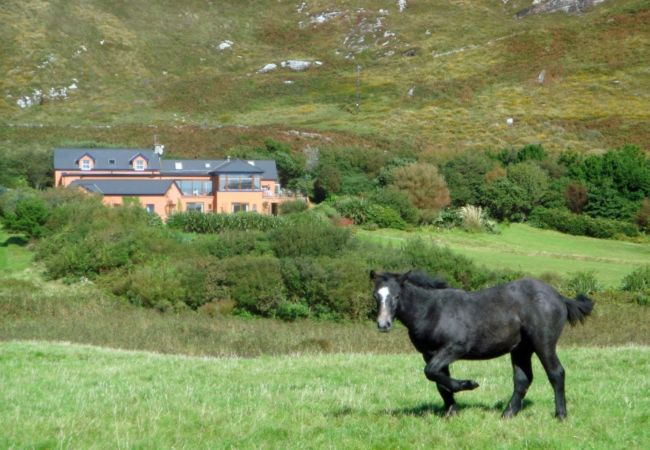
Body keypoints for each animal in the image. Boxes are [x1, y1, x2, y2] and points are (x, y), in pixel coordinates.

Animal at [370, 268, 592, 420]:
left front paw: (469, 385)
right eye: (376, 296)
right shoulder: (430, 353)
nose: (383, 324)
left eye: (396, 295)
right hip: (521, 348)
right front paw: (452, 412)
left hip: (543, 343)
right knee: (523, 379)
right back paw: (507, 414)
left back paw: (560, 415)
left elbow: (431, 372)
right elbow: (439, 380)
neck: (432, 311)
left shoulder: (455, 347)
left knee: (556, 373)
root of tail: (559, 297)